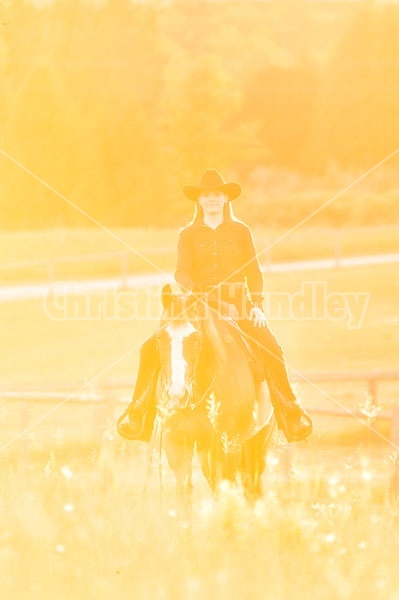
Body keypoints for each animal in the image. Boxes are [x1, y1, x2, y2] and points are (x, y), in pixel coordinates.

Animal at [155, 284, 276, 500]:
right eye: (160, 337)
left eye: (196, 338)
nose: (177, 395)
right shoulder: (177, 445)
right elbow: (184, 492)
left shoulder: (229, 447)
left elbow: (225, 490)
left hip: (256, 445)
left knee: (251, 487)